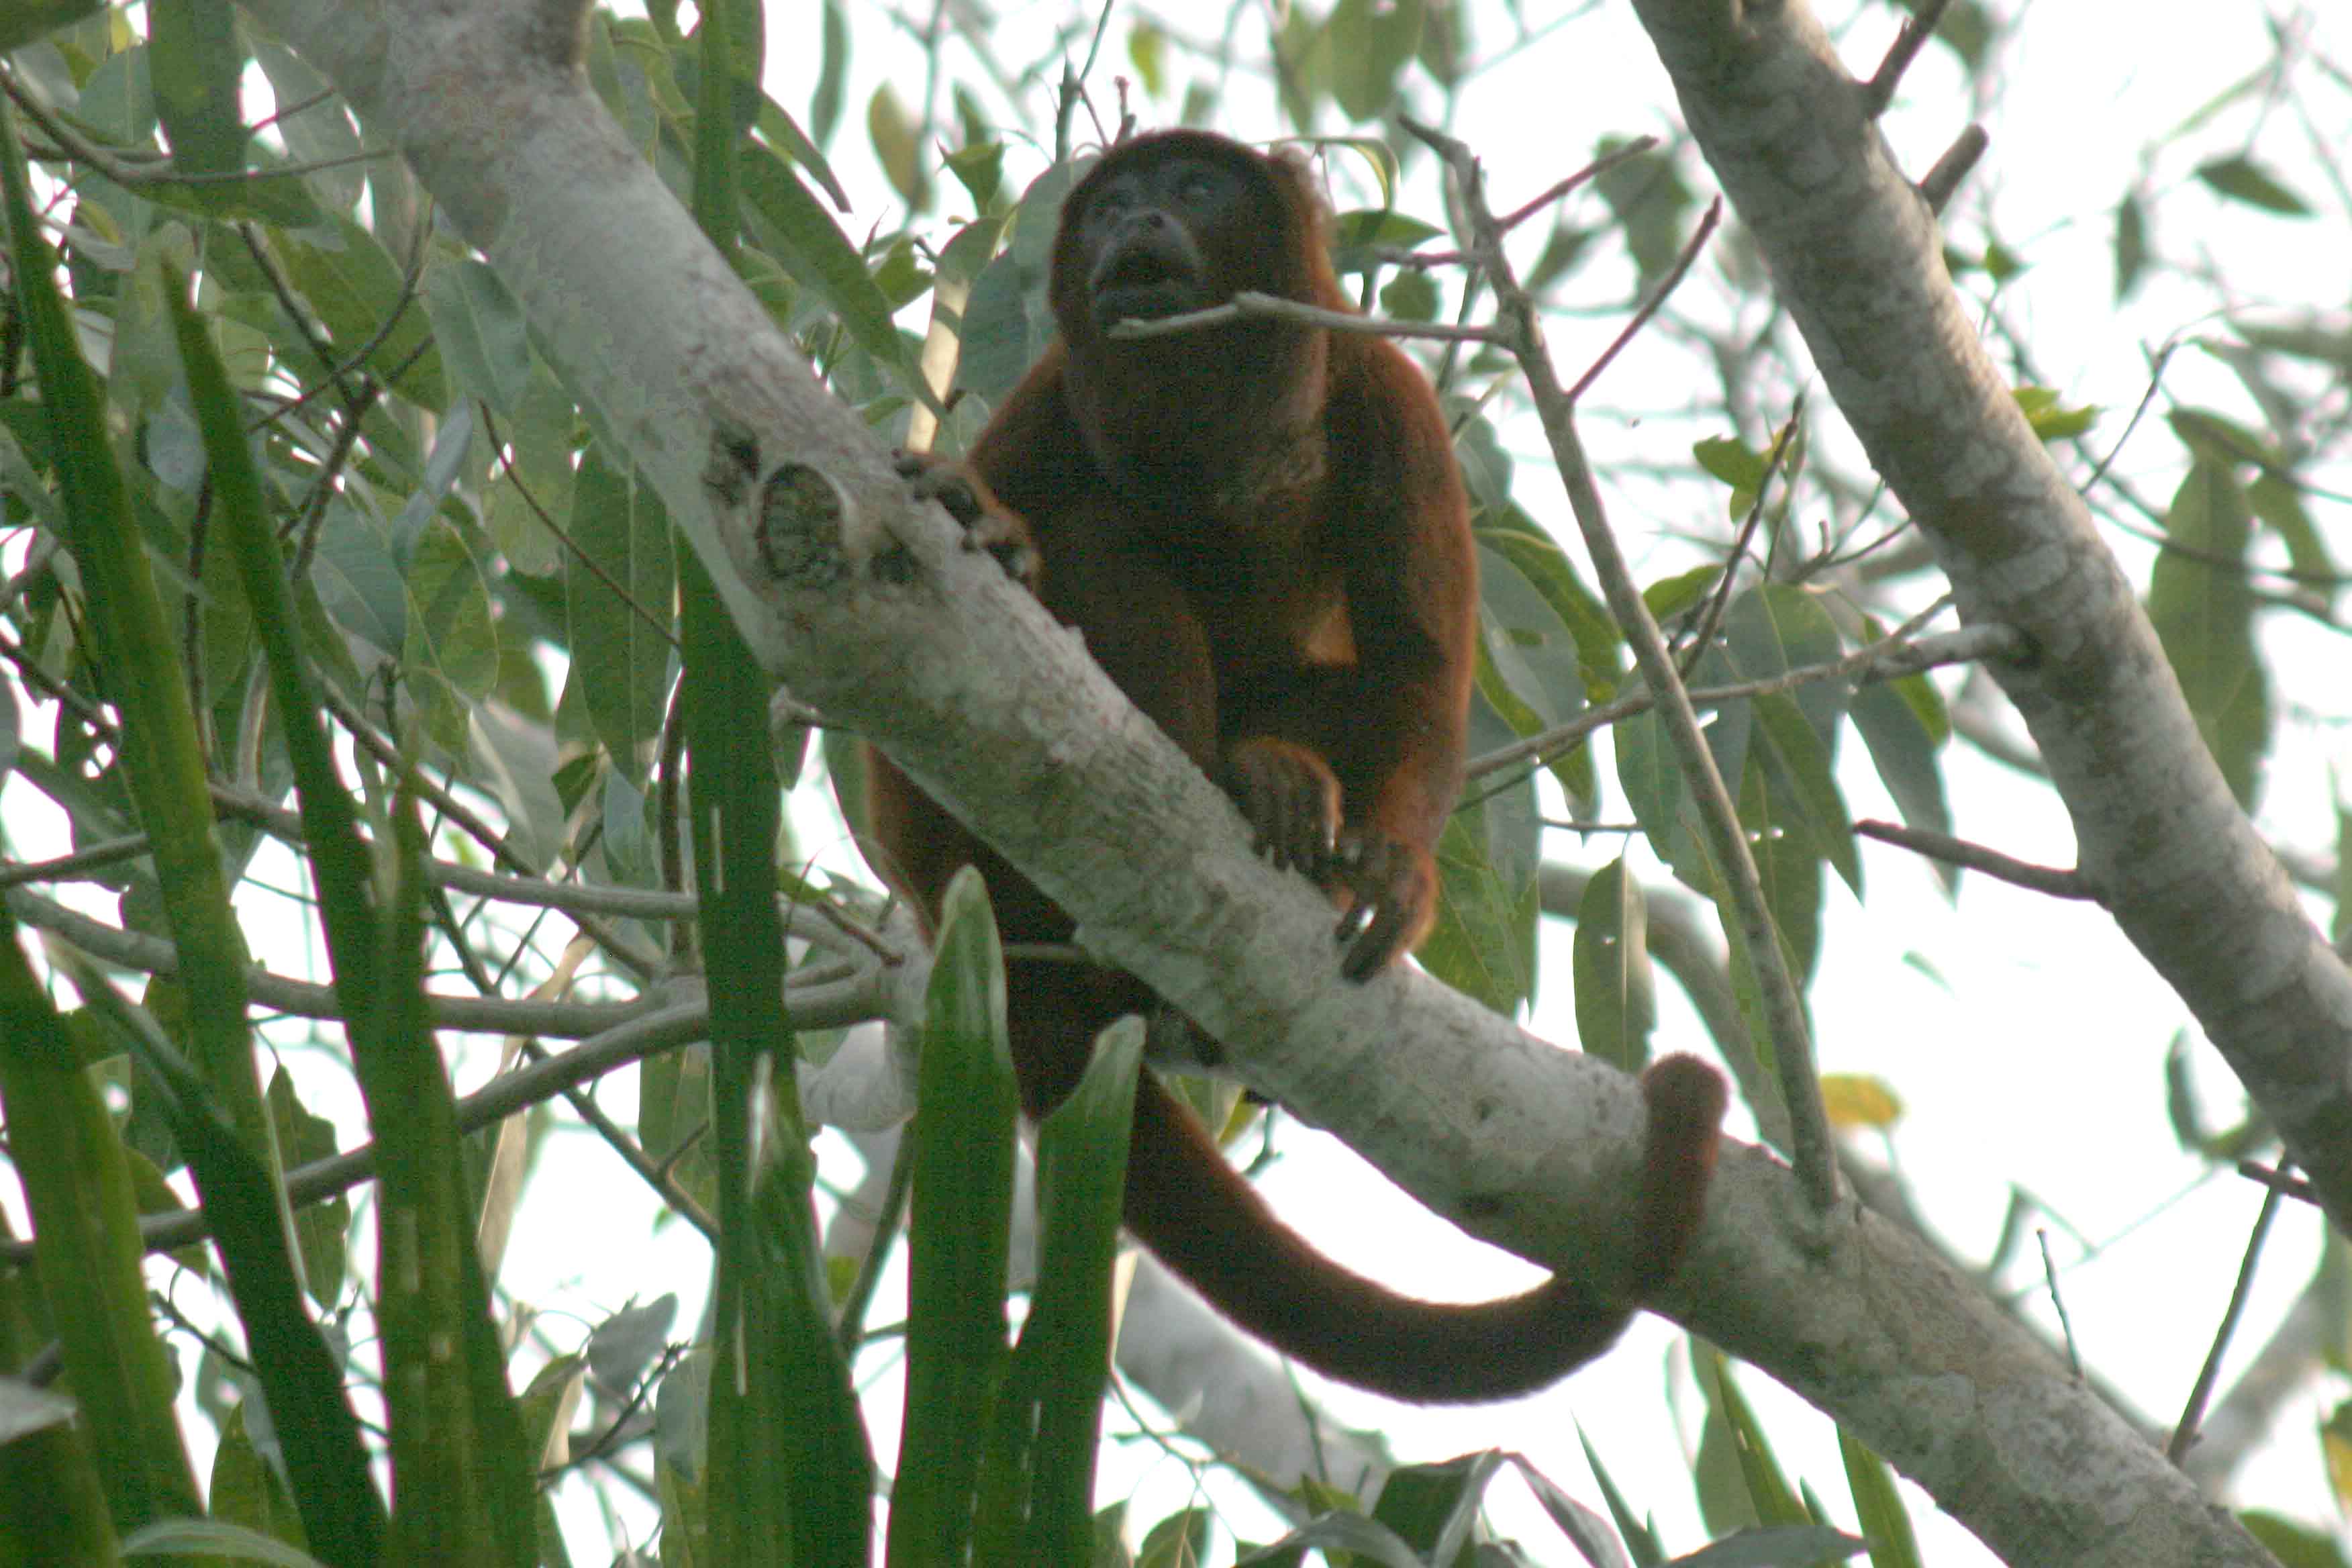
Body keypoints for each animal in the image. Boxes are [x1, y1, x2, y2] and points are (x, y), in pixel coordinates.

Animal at [867, 129, 1727, 1401]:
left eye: (1195, 188)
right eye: (1111, 202)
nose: (1139, 220)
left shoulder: (1386, 393)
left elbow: (1419, 672)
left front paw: (1395, 878)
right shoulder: (1052, 393)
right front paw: (998, 534)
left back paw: (1271, 787)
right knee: (1094, 540)